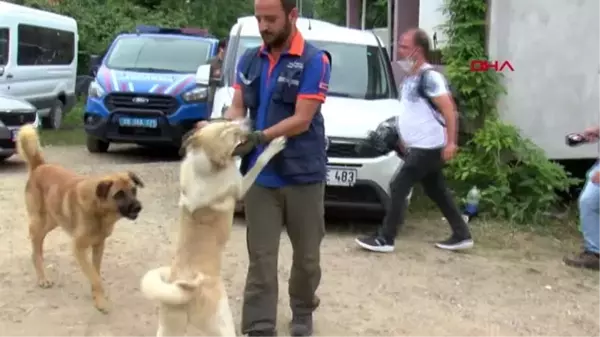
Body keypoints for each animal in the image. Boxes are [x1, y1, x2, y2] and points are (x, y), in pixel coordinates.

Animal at [16, 124, 144, 312]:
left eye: (134, 190)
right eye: (119, 194)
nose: (138, 207)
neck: (98, 210)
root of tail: (40, 166)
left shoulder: (99, 246)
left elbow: (95, 272)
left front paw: (96, 296)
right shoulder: (78, 248)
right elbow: (95, 277)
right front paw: (100, 301)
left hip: (52, 220)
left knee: (38, 244)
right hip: (38, 220)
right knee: (35, 246)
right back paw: (42, 277)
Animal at [141, 120, 286, 336]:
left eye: (227, 121)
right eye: (231, 133)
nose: (248, 121)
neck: (205, 167)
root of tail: (183, 294)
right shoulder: (241, 185)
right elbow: (259, 163)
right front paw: (274, 146)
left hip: (168, 328)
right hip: (222, 323)